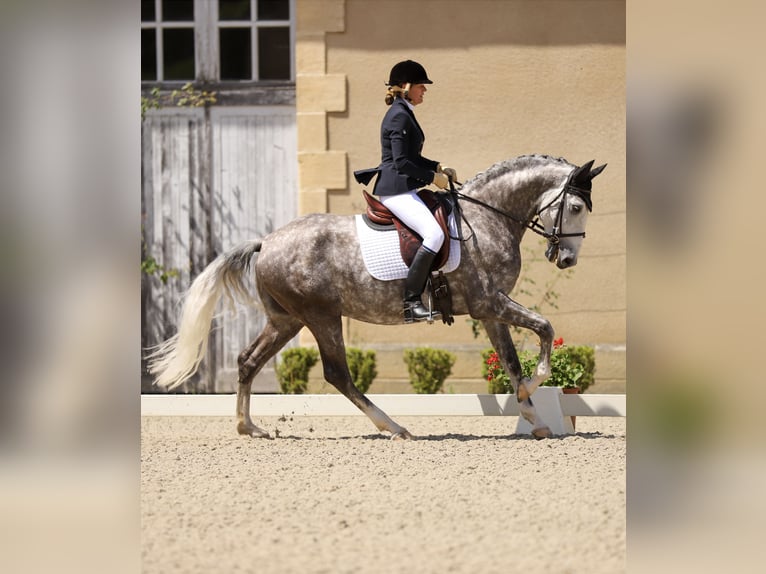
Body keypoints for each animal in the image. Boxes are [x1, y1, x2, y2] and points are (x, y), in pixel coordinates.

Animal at [148, 154, 608, 440]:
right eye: (577, 208)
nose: (567, 259)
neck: (485, 217)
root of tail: (266, 242)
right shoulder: (488, 304)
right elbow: (545, 329)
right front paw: (535, 386)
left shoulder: (490, 312)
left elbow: (511, 360)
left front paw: (534, 415)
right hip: (321, 317)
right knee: (337, 375)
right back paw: (394, 427)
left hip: (286, 320)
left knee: (247, 361)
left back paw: (249, 428)